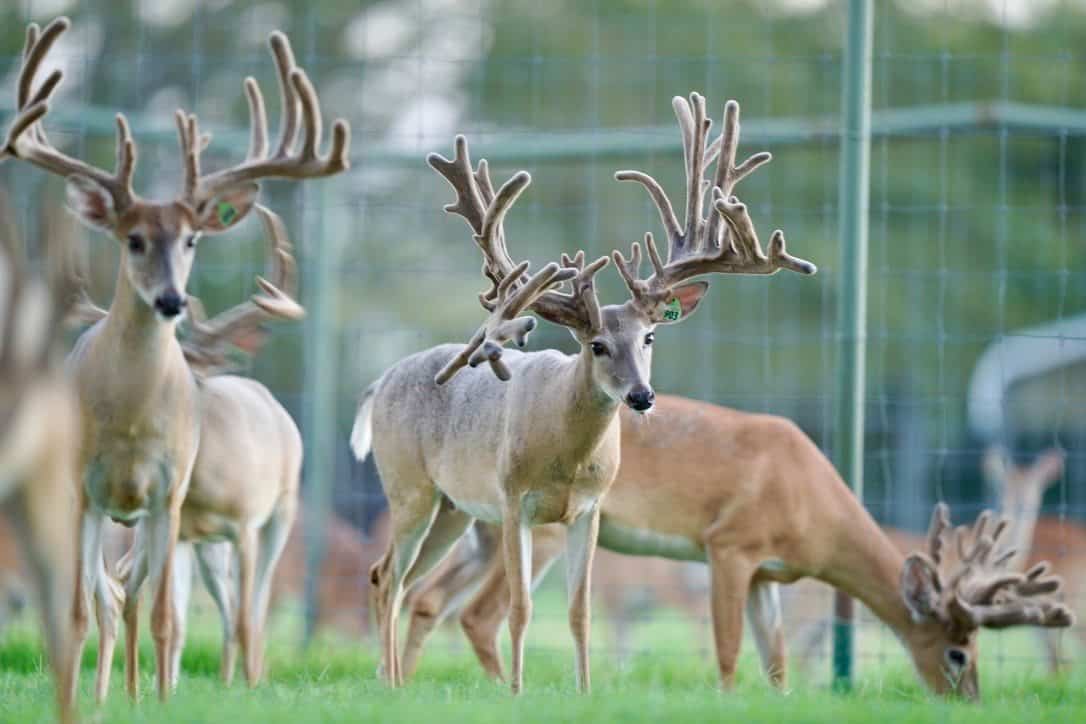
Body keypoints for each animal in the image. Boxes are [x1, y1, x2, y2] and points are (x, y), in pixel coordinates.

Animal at [1, 16, 349, 702]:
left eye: (191, 240)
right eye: (133, 239)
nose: (171, 299)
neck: (133, 423)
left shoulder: (173, 494)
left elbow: (172, 617)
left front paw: (161, 700)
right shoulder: (84, 490)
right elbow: (82, 612)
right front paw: (89, 701)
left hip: (268, 516)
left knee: (229, 608)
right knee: (116, 597)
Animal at [351, 92, 817, 694]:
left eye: (649, 337)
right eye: (596, 344)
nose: (642, 396)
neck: (567, 460)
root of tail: (381, 379)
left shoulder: (588, 511)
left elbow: (580, 611)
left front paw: (585, 690)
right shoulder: (513, 501)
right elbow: (521, 609)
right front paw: (517, 692)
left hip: (452, 508)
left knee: (396, 577)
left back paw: (394, 681)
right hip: (408, 486)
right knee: (389, 574)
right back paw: (389, 683)